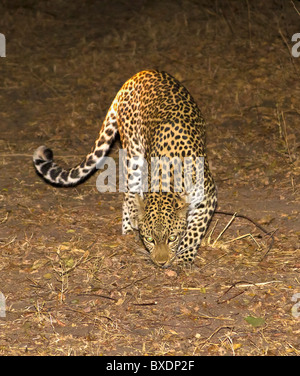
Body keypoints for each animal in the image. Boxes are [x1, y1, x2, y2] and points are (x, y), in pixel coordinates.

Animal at [32, 70, 217, 268]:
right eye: (149, 240)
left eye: (172, 238)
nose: (161, 263)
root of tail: (136, 77)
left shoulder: (208, 197)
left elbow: (194, 232)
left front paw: (184, 257)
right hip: (133, 150)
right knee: (129, 192)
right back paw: (129, 226)